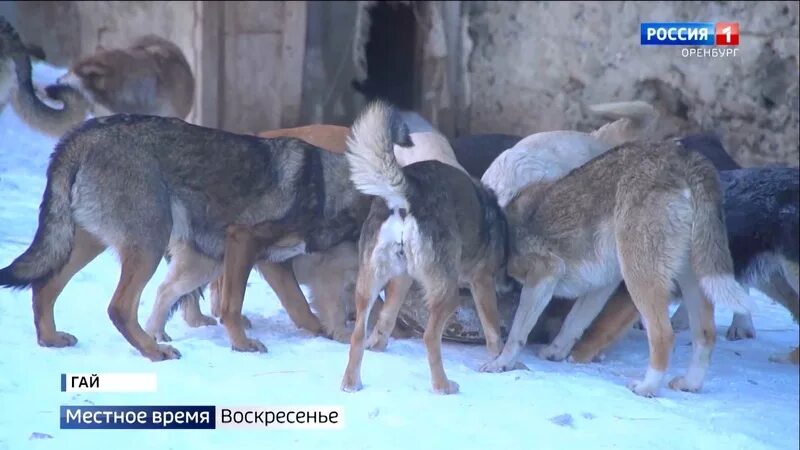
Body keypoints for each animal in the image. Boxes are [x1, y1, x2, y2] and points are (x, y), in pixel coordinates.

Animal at [0, 113, 368, 362]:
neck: (329, 187)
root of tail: (82, 134)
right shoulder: (243, 242)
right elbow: (233, 306)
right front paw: (242, 345)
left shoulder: (273, 262)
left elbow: (302, 309)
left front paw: (332, 334)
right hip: (149, 244)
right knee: (119, 307)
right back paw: (153, 349)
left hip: (91, 242)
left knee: (45, 287)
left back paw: (51, 339)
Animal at [342, 101, 506, 394]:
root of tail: (408, 193)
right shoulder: (482, 280)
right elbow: (493, 330)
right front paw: (500, 361)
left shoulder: (403, 278)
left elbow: (386, 317)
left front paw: (379, 344)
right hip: (448, 293)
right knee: (430, 338)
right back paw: (443, 386)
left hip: (369, 282)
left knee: (358, 334)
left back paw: (351, 383)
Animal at [482, 138, 756, 398]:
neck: (505, 229)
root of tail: (684, 157)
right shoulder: (601, 285)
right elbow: (574, 323)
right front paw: (555, 352)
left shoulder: (544, 274)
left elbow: (518, 333)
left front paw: (501, 364)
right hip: (694, 280)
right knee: (706, 335)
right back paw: (690, 384)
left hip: (639, 277)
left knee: (663, 336)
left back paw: (647, 388)